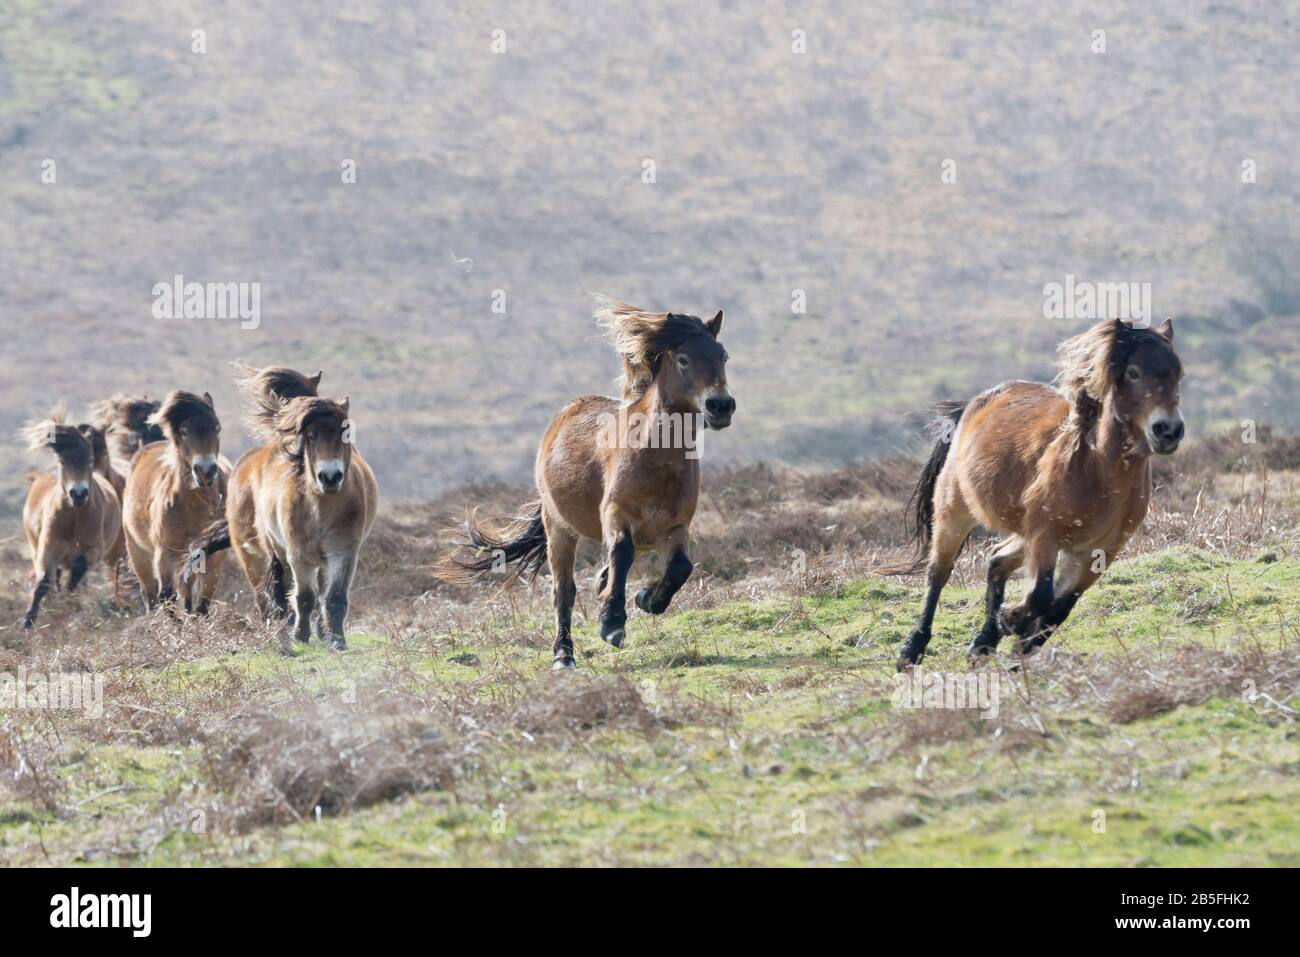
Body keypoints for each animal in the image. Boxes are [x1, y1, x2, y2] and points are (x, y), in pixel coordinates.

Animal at [19, 412, 122, 628]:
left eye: (89, 460)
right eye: (63, 462)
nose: (79, 494)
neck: (74, 518)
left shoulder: (94, 550)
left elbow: (78, 569)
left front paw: (70, 599)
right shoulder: (48, 549)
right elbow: (43, 582)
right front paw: (28, 621)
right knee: (55, 576)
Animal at [121, 390, 229, 614]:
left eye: (217, 428)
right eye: (184, 432)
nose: (206, 471)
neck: (195, 508)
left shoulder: (213, 557)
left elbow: (202, 602)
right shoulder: (165, 554)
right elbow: (166, 595)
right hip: (138, 552)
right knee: (150, 595)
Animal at [189, 364, 377, 653]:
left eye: (345, 433)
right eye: (310, 436)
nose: (330, 477)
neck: (320, 506)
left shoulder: (344, 552)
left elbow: (334, 597)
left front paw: (336, 641)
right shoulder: (297, 554)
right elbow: (304, 597)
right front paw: (300, 637)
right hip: (264, 555)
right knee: (271, 596)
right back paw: (281, 633)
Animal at [436, 295, 735, 670]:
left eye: (723, 355)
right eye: (683, 359)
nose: (721, 405)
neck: (657, 459)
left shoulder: (675, 526)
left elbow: (680, 567)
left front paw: (646, 598)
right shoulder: (617, 513)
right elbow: (621, 552)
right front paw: (612, 623)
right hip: (559, 529)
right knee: (564, 591)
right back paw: (564, 655)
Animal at [886, 318, 1184, 669]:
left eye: (1178, 372)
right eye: (1134, 372)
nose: (1168, 431)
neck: (1096, 468)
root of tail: (973, 406)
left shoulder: (1099, 552)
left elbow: (1060, 608)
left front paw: (1015, 644)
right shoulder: (1046, 535)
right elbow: (1042, 597)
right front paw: (1012, 621)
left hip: (1023, 531)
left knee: (997, 560)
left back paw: (982, 644)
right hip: (954, 509)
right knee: (938, 573)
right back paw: (911, 650)